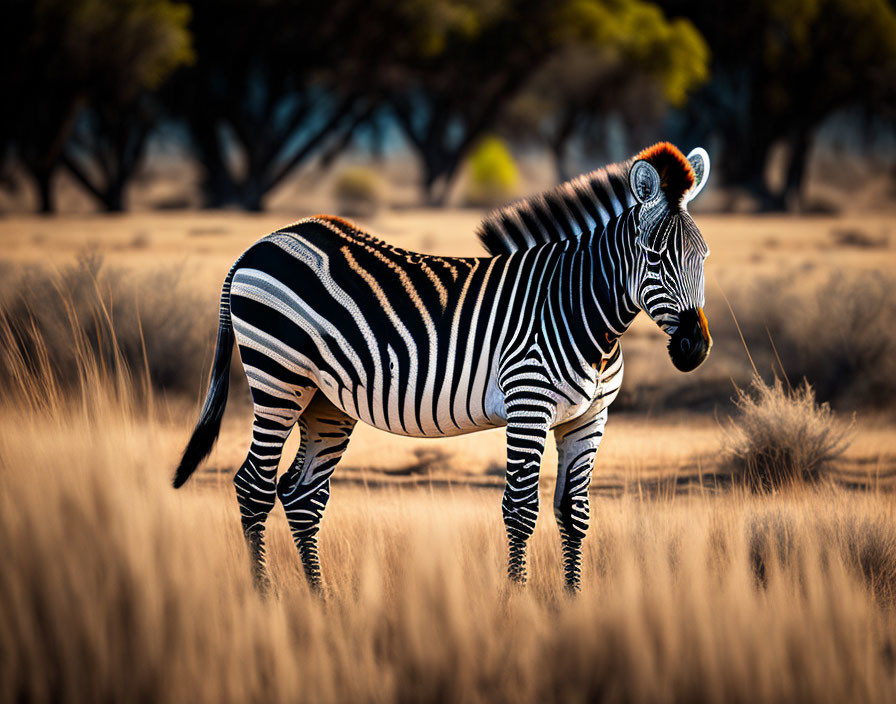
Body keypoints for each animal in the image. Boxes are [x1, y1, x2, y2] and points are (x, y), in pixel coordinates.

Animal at [173, 143, 712, 592]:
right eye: (655, 256)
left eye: (703, 257)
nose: (695, 348)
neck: (580, 310)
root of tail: (261, 243)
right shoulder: (528, 403)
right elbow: (521, 509)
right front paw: (517, 609)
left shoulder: (588, 419)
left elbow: (574, 513)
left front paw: (572, 607)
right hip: (278, 378)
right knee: (254, 486)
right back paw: (266, 599)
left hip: (325, 401)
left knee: (302, 496)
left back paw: (319, 602)